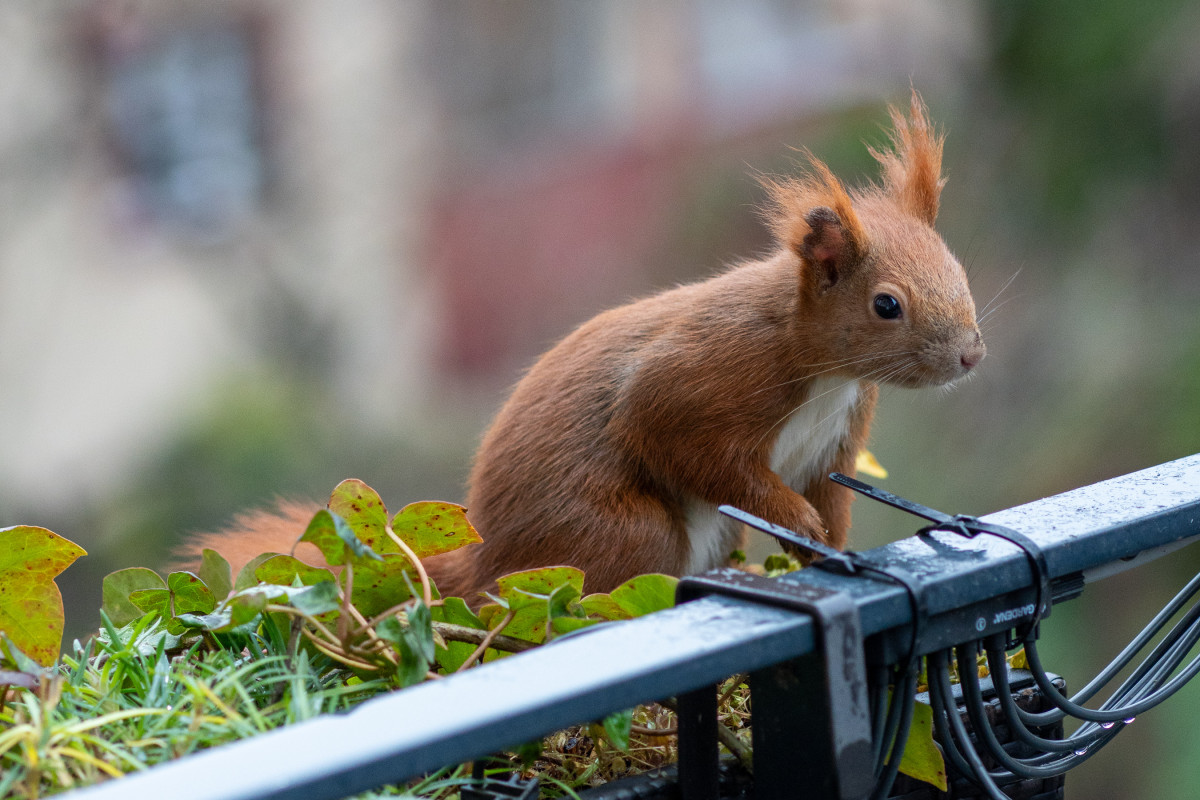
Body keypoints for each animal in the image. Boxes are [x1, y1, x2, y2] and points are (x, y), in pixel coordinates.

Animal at [189, 92, 984, 599]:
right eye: (887, 305)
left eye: (959, 270)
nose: (971, 357)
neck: (821, 368)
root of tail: (484, 567)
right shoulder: (710, 378)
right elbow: (688, 445)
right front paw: (795, 520)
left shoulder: (834, 441)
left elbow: (832, 495)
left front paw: (828, 545)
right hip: (623, 537)